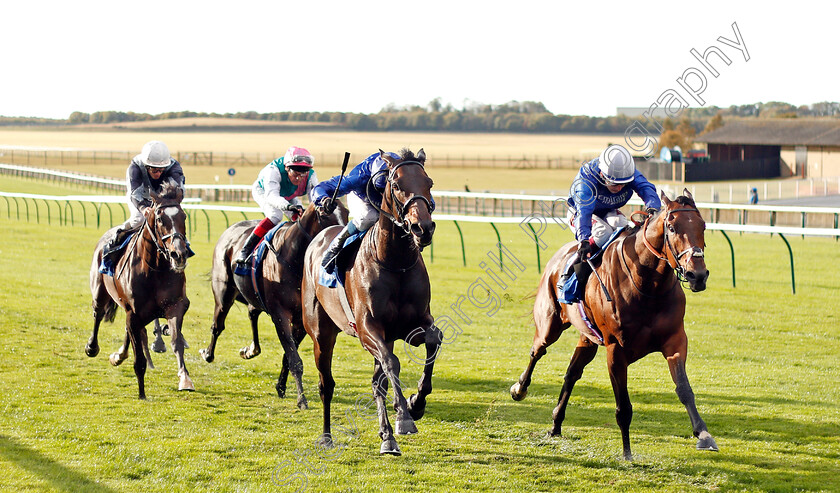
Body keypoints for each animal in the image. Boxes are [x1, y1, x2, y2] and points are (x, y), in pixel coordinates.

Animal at [88, 181, 194, 400]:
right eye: (160, 218)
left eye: (184, 216)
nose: (179, 254)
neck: (155, 269)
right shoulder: (134, 312)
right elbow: (139, 359)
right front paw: (142, 393)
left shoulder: (175, 305)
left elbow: (176, 341)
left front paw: (185, 378)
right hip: (100, 291)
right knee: (98, 314)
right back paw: (92, 347)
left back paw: (119, 355)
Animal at [199, 200, 348, 408]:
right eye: (325, 214)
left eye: (347, 213)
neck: (296, 258)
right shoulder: (280, 314)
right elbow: (294, 359)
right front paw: (301, 399)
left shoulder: (300, 320)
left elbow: (289, 356)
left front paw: (281, 386)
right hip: (224, 293)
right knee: (217, 325)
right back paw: (208, 353)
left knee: (252, 312)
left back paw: (251, 350)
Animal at [302, 148, 440, 456]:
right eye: (396, 184)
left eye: (429, 183)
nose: (422, 228)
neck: (394, 262)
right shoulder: (367, 329)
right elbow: (391, 363)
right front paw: (405, 418)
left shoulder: (414, 324)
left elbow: (433, 341)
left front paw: (416, 404)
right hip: (321, 333)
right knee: (326, 384)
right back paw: (327, 436)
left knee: (378, 383)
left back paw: (387, 436)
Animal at [508, 190, 720, 460]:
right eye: (672, 228)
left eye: (703, 226)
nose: (698, 276)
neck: (647, 286)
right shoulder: (615, 350)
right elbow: (623, 406)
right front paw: (627, 452)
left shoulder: (675, 341)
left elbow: (684, 389)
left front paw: (704, 435)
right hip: (550, 323)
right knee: (537, 350)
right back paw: (519, 389)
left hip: (587, 338)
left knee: (572, 373)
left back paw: (556, 424)